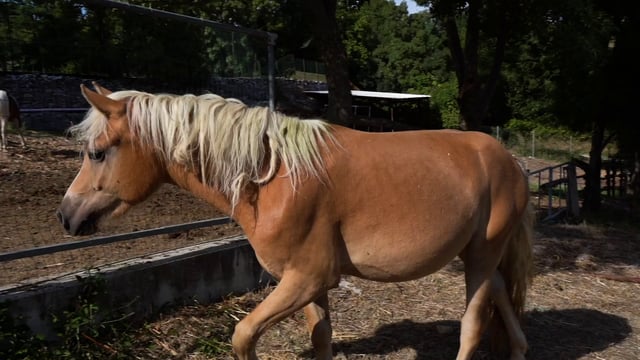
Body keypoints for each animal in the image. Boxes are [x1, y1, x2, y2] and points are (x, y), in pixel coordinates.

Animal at [57, 83, 536, 358]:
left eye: (96, 153)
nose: (66, 215)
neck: (274, 178)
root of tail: (507, 159)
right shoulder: (306, 285)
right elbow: (321, 339)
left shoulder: (308, 278)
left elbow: (243, 335)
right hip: (476, 256)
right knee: (504, 299)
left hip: (480, 258)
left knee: (472, 327)